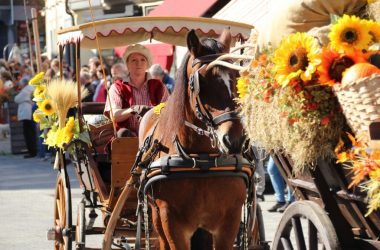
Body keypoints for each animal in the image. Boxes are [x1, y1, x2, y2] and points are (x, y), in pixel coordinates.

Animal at [138, 28, 248, 248]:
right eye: (201, 81)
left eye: (236, 76)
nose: (233, 140)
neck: (202, 161)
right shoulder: (171, 223)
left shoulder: (229, 222)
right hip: (156, 216)